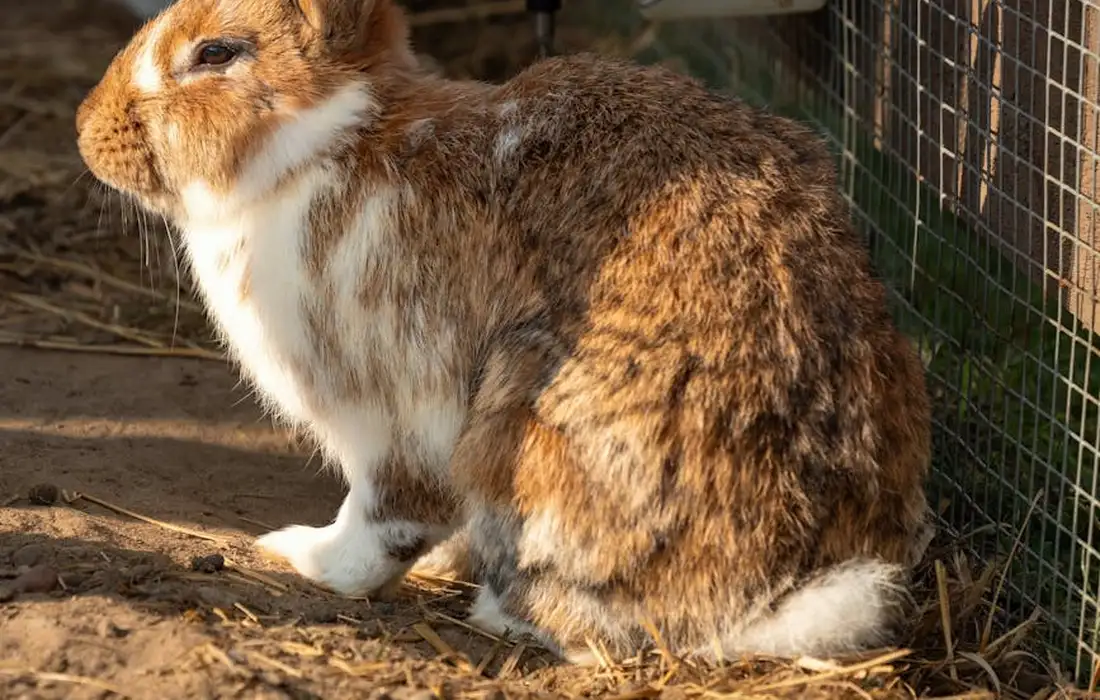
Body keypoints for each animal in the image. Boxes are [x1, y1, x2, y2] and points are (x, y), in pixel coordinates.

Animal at [75, 0, 934, 664]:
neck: (325, 147)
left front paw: (304, 556)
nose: (87, 129)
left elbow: (383, 516)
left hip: (519, 426)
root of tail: (771, 597)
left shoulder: (390, 406)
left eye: (216, 53)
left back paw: (497, 610)